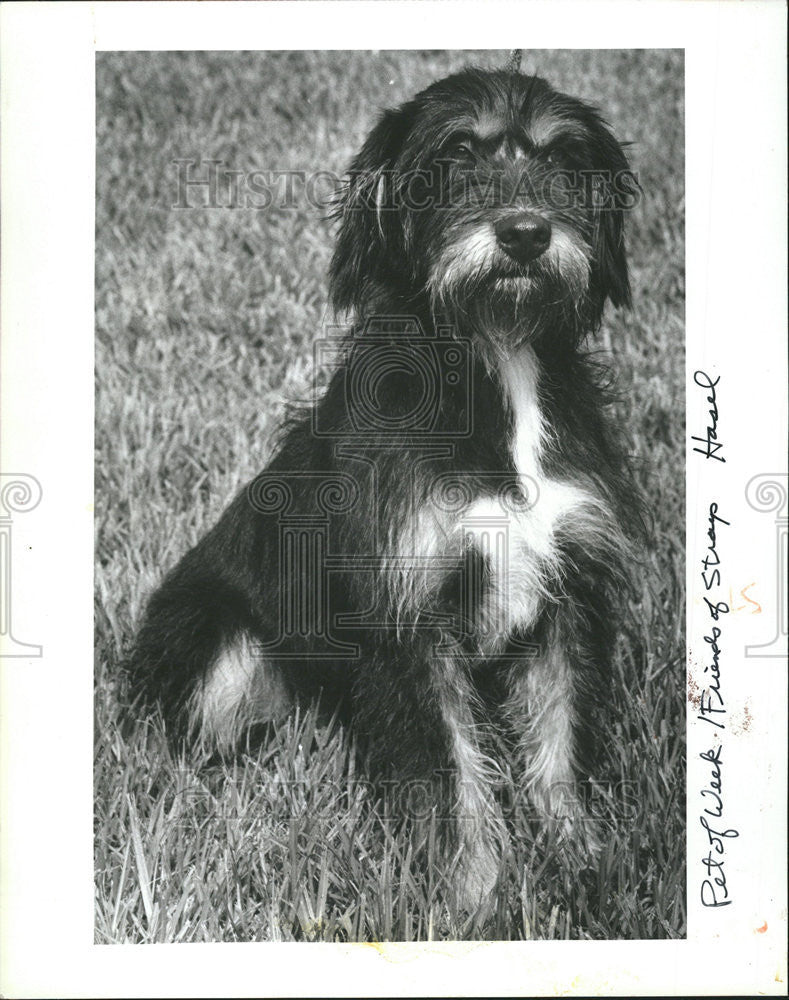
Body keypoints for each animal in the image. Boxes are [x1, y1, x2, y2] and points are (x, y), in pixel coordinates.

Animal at [129, 60, 644, 908]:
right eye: (456, 154)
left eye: (562, 159)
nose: (524, 234)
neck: (493, 358)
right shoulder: (407, 615)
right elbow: (447, 771)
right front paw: (473, 899)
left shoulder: (566, 591)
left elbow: (557, 741)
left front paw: (582, 861)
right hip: (216, 646)